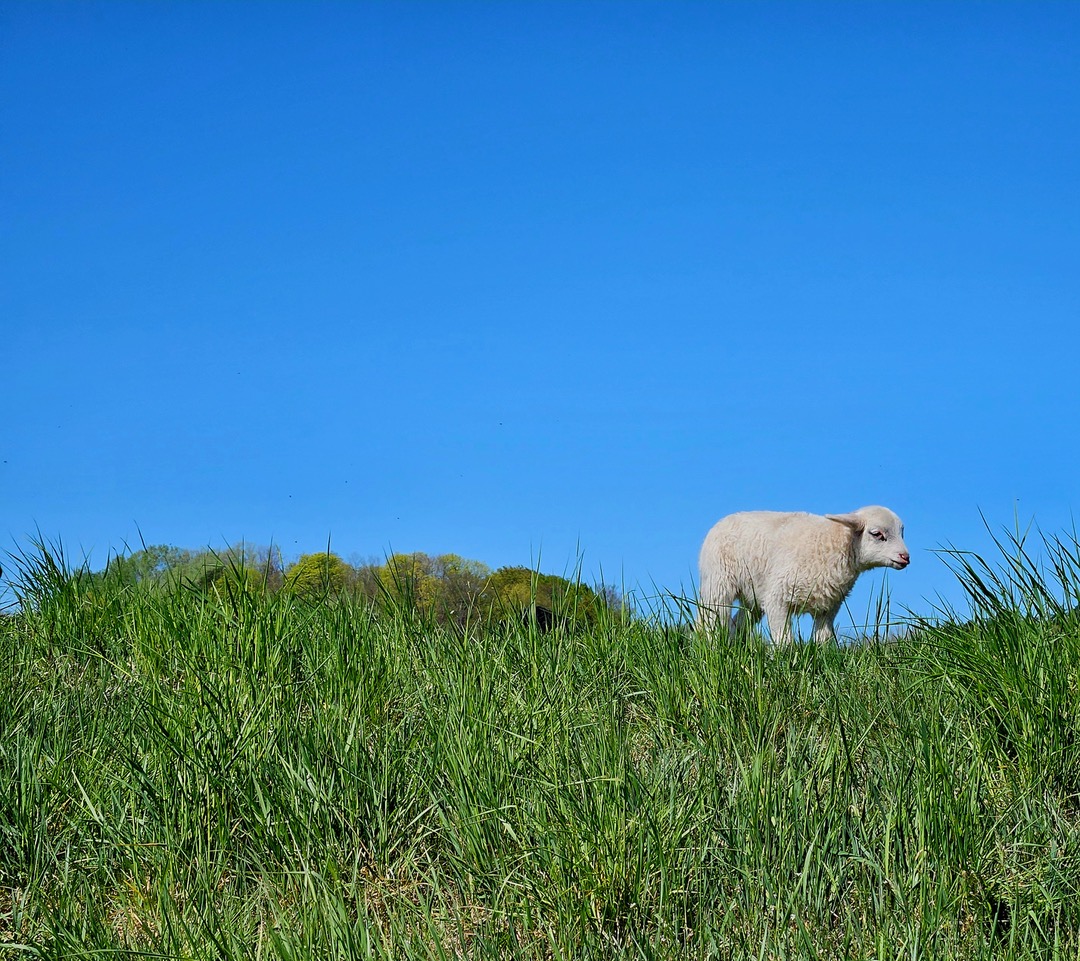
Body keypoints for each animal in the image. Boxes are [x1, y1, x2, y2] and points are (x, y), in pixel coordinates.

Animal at [697, 506, 909, 645]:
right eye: (877, 534)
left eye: (902, 532)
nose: (905, 557)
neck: (837, 544)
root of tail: (724, 519)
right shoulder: (778, 598)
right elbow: (784, 641)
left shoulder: (828, 608)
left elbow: (823, 640)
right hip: (718, 582)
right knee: (710, 620)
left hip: (754, 597)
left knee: (737, 623)